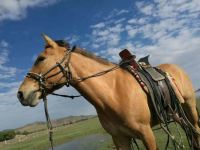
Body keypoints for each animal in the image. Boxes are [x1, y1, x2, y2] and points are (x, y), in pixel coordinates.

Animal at [17, 34, 200, 149]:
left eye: (41, 58)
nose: (20, 94)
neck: (114, 94)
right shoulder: (120, 138)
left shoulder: (146, 133)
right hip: (177, 113)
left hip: (189, 107)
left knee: (196, 131)